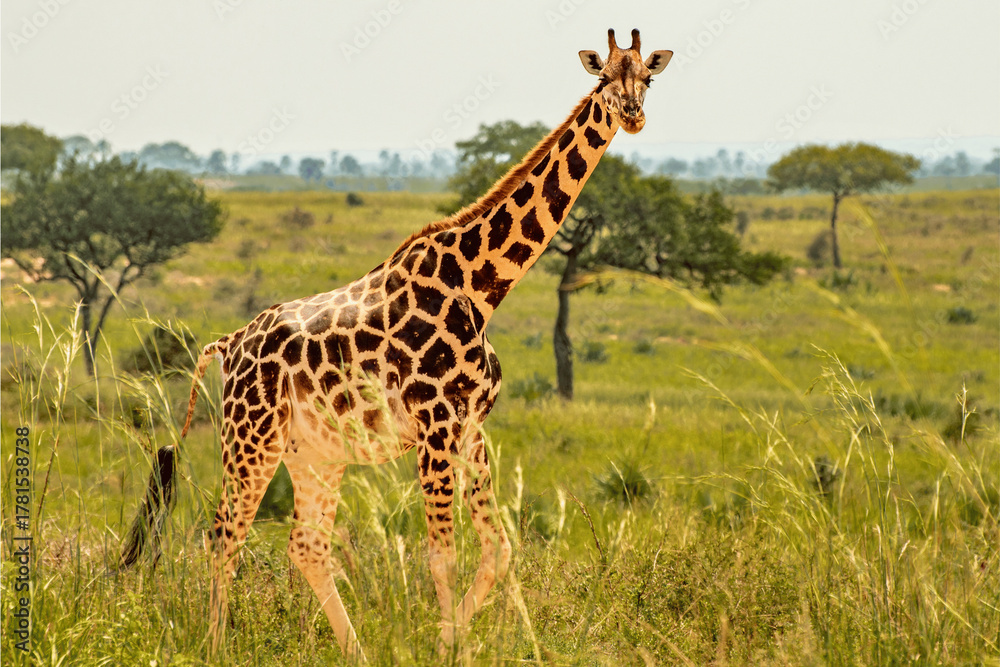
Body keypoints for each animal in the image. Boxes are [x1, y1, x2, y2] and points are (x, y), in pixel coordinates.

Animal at [119, 28, 672, 661]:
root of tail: (229, 343)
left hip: (314, 453)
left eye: (647, 78)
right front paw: (449, 649)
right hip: (250, 438)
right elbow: (443, 555)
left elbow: (500, 549)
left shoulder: (470, 427)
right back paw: (215, 648)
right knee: (223, 535)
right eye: (603, 79)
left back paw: (355, 652)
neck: (481, 286)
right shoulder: (436, 424)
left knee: (306, 545)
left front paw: (491, 644)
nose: (632, 115)